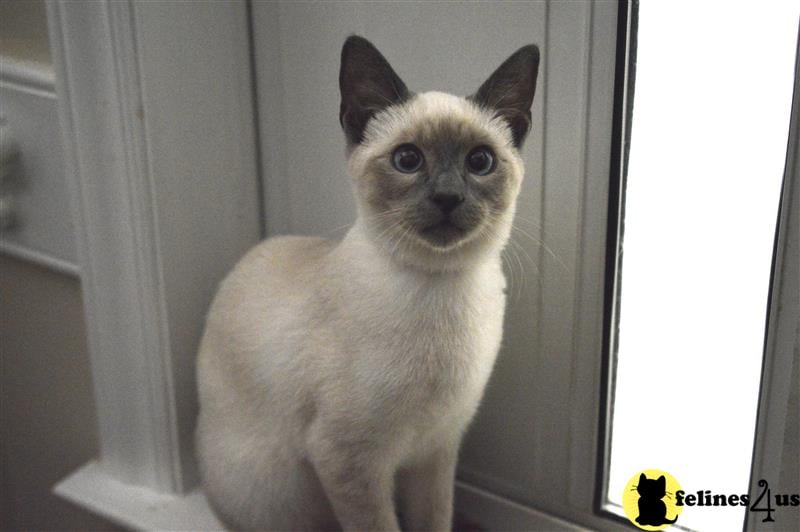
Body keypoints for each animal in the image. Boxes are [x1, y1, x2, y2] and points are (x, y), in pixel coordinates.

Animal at [197, 35, 540, 528]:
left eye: (480, 161)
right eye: (407, 159)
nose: (448, 197)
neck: (438, 286)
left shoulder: (436, 449)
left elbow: (435, 520)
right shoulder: (349, 459)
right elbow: (380, 525)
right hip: (279, 499)